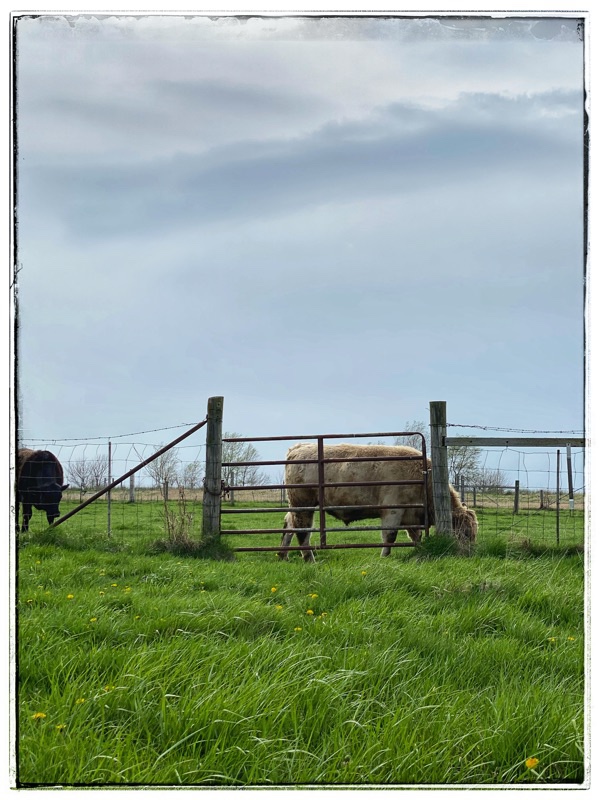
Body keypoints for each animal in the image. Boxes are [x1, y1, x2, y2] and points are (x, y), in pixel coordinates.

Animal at [279, 443, 478, 562]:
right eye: (466, 533)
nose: (469, 554)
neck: (423, 477)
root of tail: (299, 447)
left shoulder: (411, 516)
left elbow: (416, 537)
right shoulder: (393, 511)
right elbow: (389, 536)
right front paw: (384, 558)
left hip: (297, 506)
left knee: (289, 524)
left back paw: (283, 555)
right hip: (303, 505)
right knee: (302, 532)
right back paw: (309, 559)